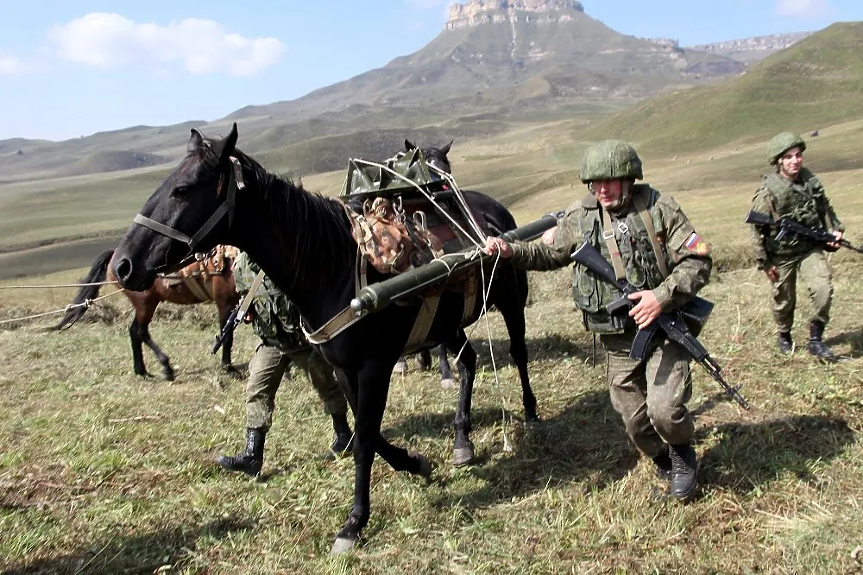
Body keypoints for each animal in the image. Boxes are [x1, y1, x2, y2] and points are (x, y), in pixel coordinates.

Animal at [112, 125, 536, 552]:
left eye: (182, 189)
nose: (124, 265)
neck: (332, 267)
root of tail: (495, 212)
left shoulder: (375, 366)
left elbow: (365, 440)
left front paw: (354, 523)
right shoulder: (346, 368)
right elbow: (369, 432)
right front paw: (414, 463)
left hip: (511, 302)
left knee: (518, 353)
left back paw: (530, 412)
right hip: (446, 323)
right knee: (468, 364)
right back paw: (462, 439)